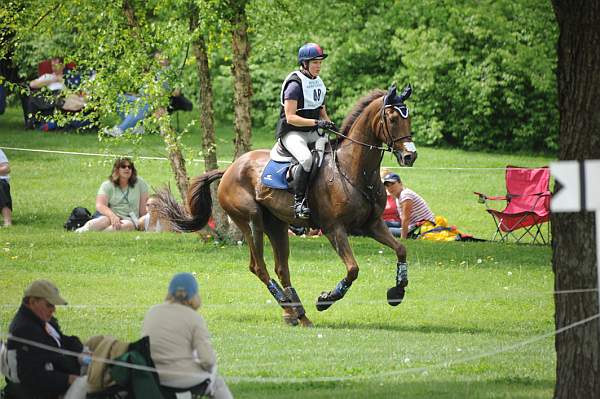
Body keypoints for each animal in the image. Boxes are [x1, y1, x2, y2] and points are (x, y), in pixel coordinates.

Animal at [155, 83, 418, 326]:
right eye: (393, 119)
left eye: (409, 117)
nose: (410, 156)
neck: (353, 170)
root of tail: (229, 169)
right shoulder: (334, 229)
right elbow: (353, 269)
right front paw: (326, 298)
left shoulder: (371, 225)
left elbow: (401, 249)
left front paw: (397, 291)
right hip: (251, 220)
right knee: (258, 266)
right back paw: (289, 306)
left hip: (277, 225)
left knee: (282, 269)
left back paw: (297, 313)